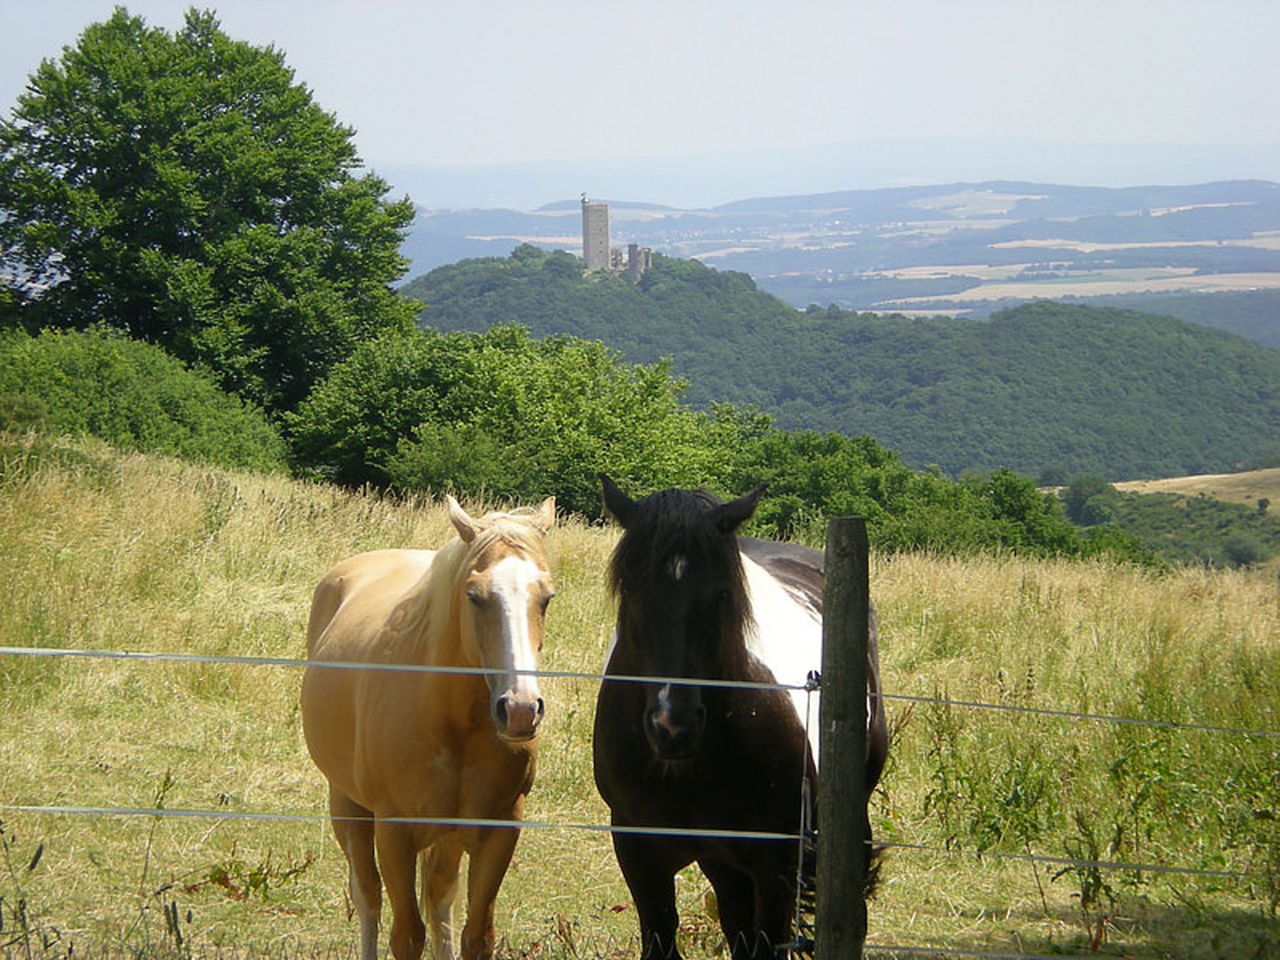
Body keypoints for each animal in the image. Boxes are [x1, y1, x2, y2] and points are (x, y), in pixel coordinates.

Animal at [302, 496, 558, 960]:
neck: (451, 722)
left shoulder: (500, 831)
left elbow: (476, 934)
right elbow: (406, 933)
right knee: (368, 896)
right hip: (347, 804)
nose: (519, 709)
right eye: (474, 596)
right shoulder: (394, 833)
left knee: (440, 901)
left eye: (546, 597)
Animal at [591, 481, 885, 960]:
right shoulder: (639, 853)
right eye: (632, 590)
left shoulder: (775, 863)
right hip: (722, 862)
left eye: (722, 594)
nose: (673, 725)